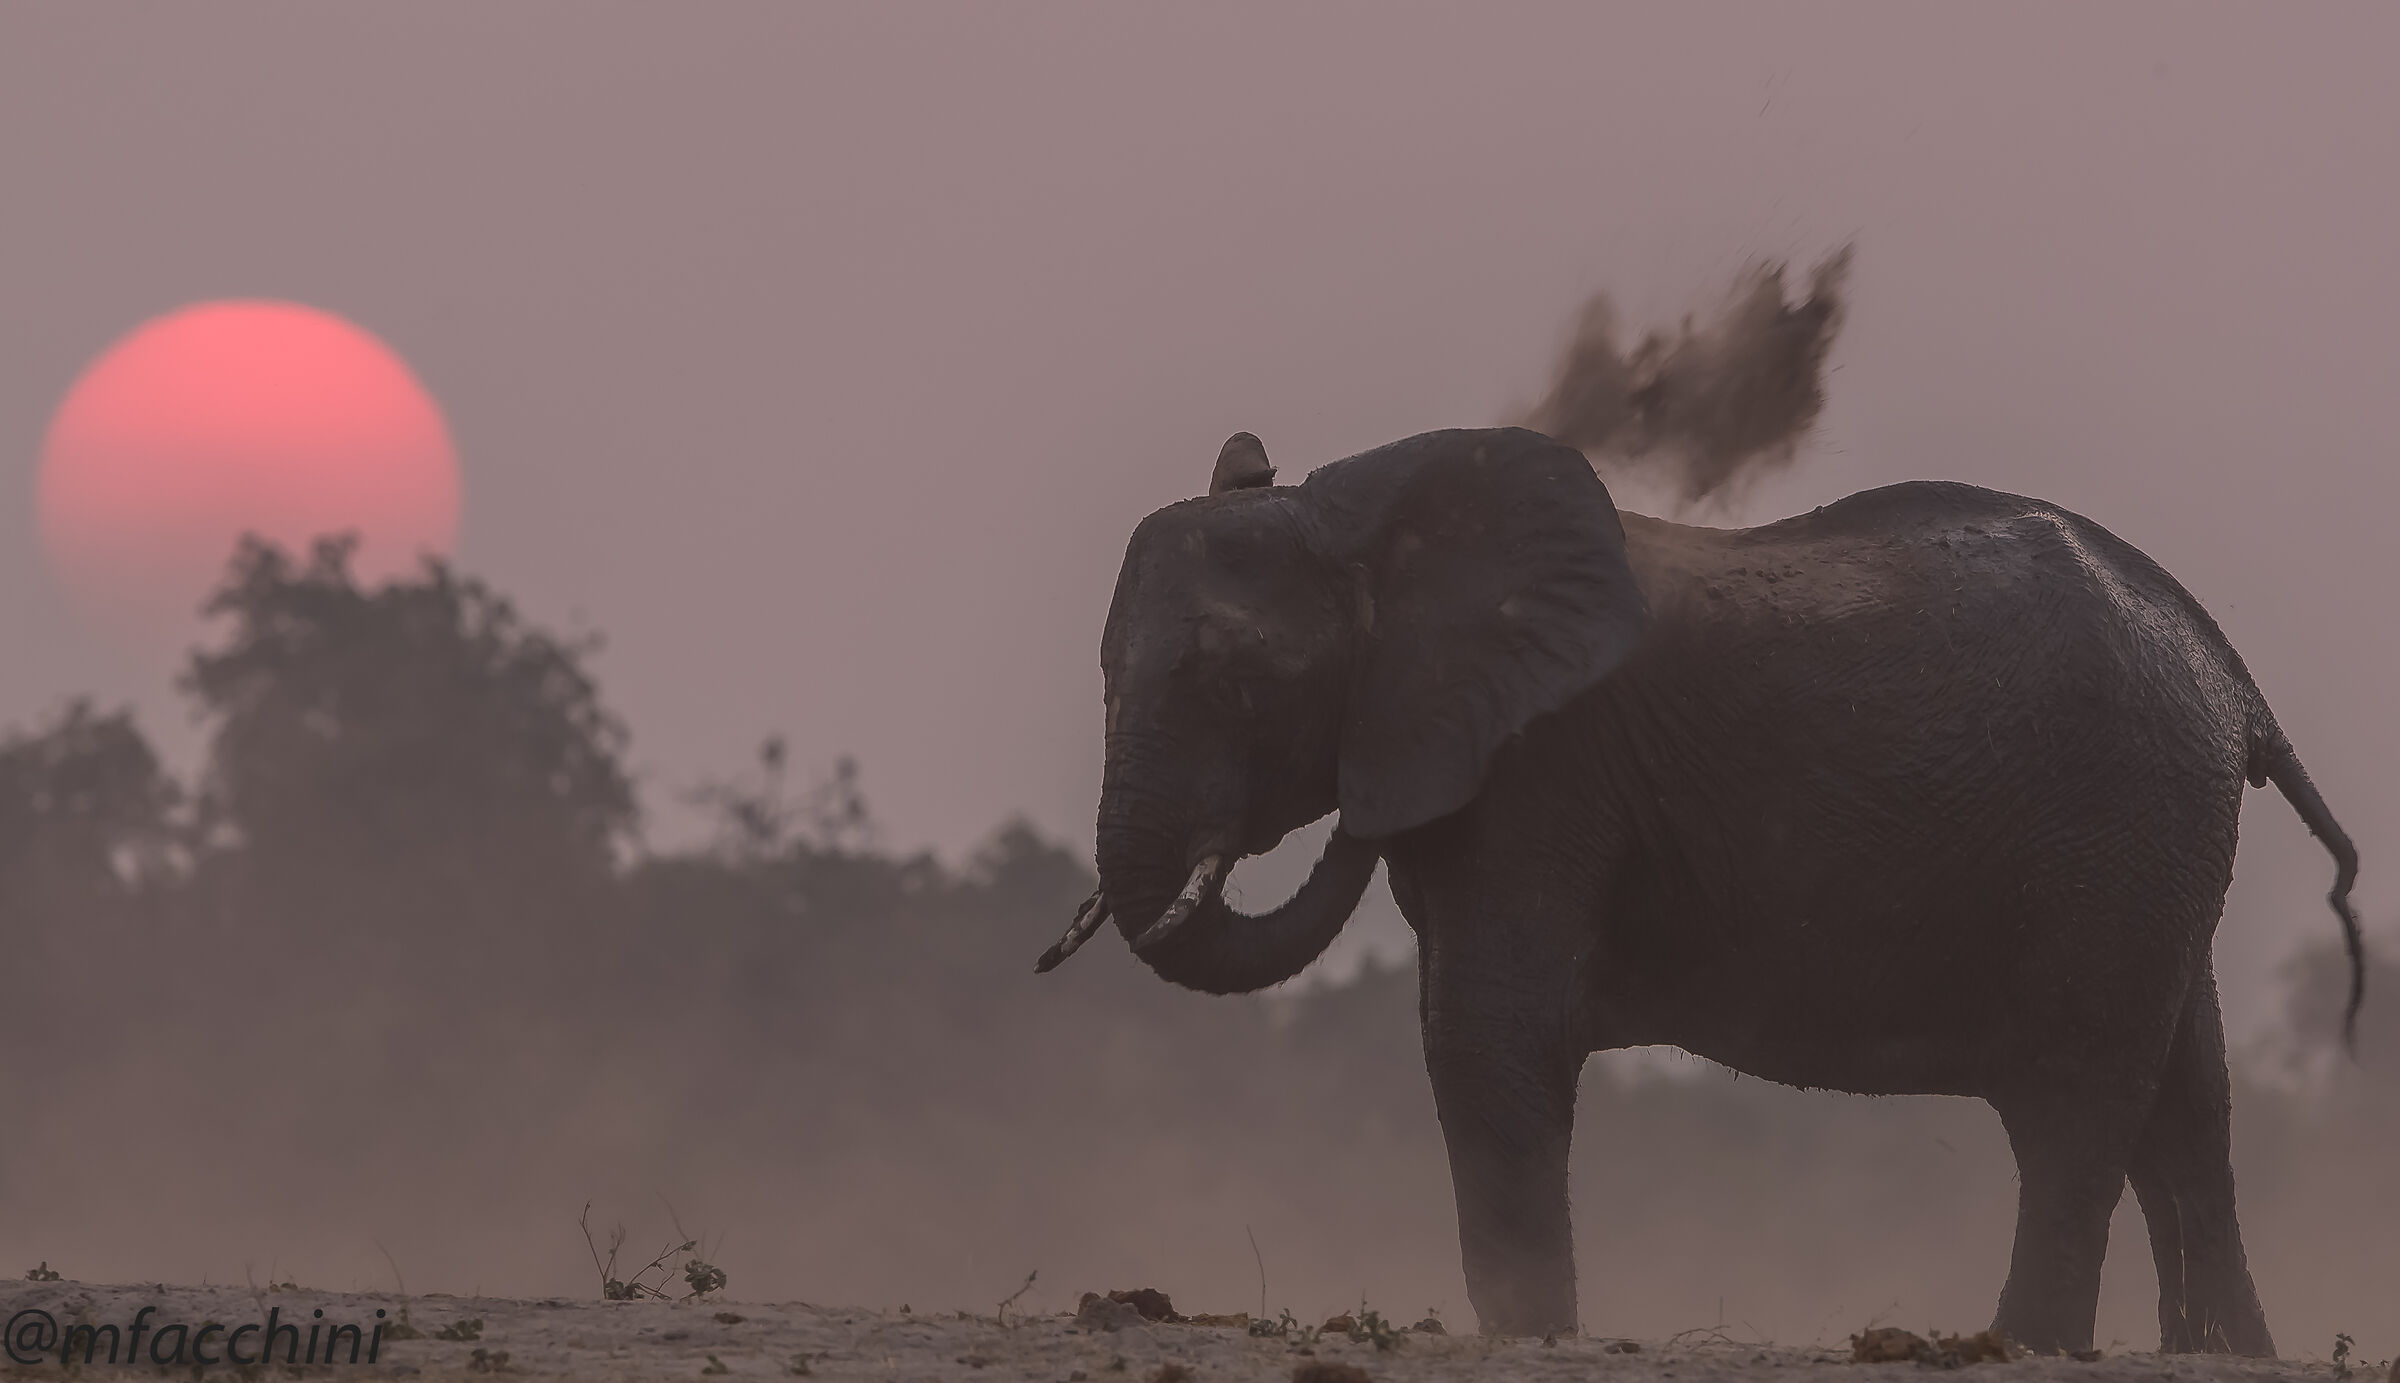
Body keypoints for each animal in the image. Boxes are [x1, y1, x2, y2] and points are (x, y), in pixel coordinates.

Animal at [1035, 426, 2362, 1355]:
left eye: (1232, 682)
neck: (1368, 521)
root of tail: (2231, 676)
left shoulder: (1543, 767)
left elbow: (1484, 1034)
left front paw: (1532, 1330)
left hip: (2113, 829)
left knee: (2076, 1102)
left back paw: (2024, 1344)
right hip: (2154, 848)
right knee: (2188, 1103)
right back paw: (2222, 1354)